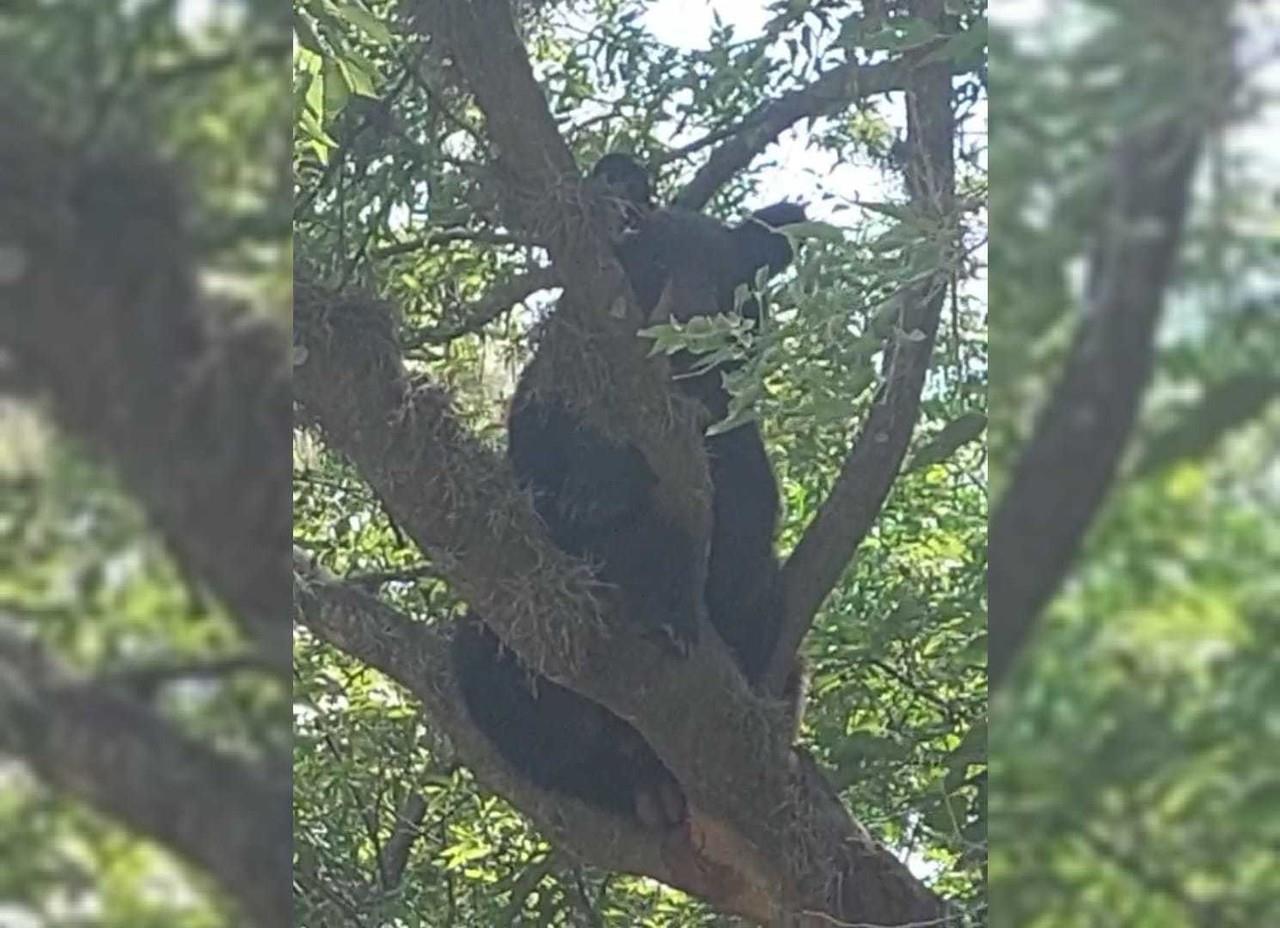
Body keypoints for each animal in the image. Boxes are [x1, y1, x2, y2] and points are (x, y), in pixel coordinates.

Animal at [453, 153, 798, 824]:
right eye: (658, 263)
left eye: (725, 277)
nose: (691, 335)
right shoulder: (557, 401)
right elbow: (551, 483)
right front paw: (599, 489)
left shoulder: (729, 441)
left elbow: (742, 534)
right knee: (488, 662)